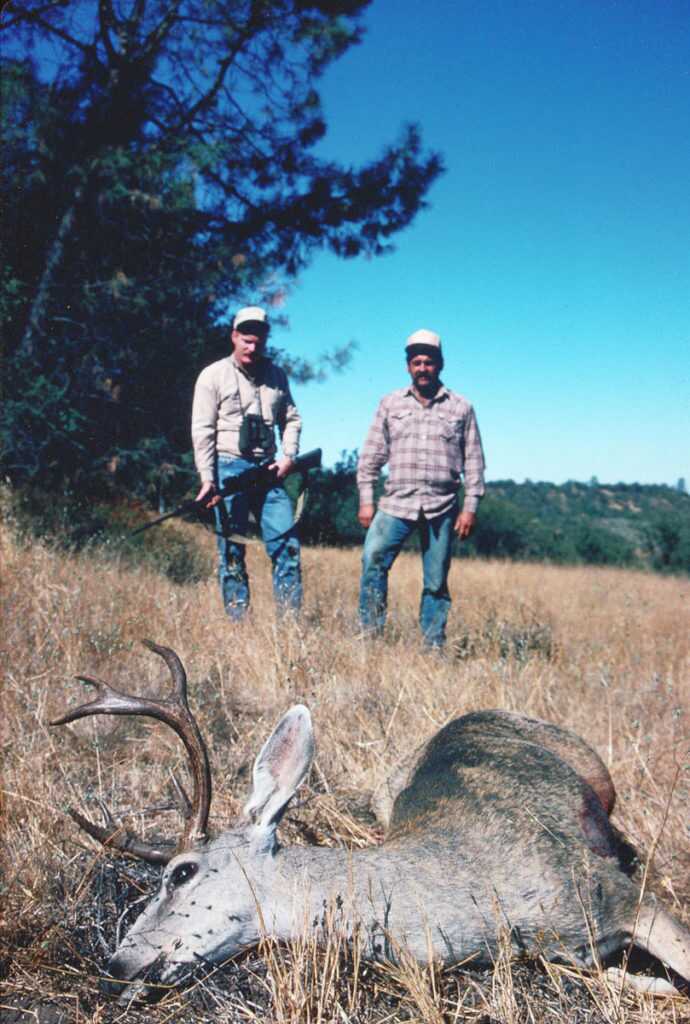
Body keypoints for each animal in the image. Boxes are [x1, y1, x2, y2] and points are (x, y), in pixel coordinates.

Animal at [51, 641, 690, 1005]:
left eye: (181, 873)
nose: (115, 967)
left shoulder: (616, 893)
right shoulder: (552, 951)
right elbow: (609, 976)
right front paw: (653, 986)